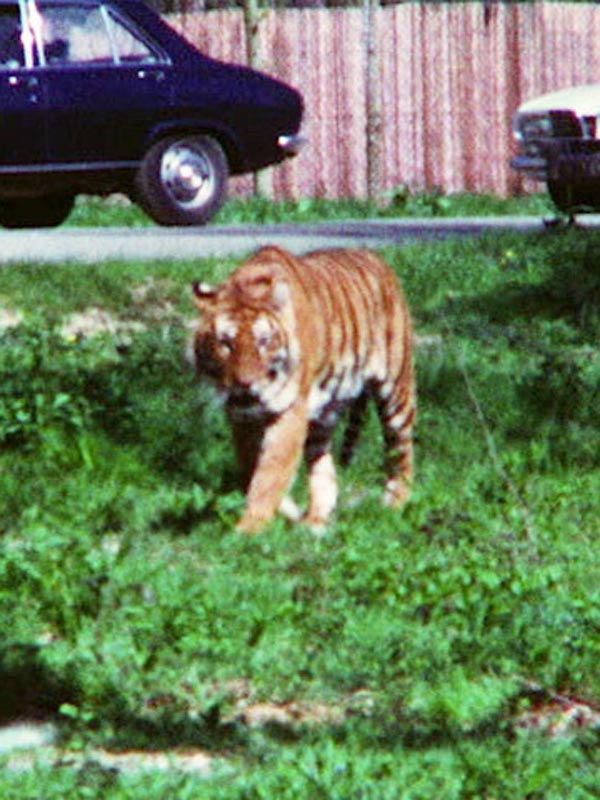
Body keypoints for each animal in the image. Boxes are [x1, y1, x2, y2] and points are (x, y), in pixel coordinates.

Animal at [190, 244, 414, 532]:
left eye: (263, 341)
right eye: (225, 343)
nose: (245, 383)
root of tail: (377, 258)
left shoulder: (290, 410)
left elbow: (272, 470)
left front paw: (249, 529)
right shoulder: (242, 418)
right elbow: (252, 466)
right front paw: (286, 511)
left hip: (396, 392)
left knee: (402, 450)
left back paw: (396, 504)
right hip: (323, 416)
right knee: (324, 469)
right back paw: (315, 522)